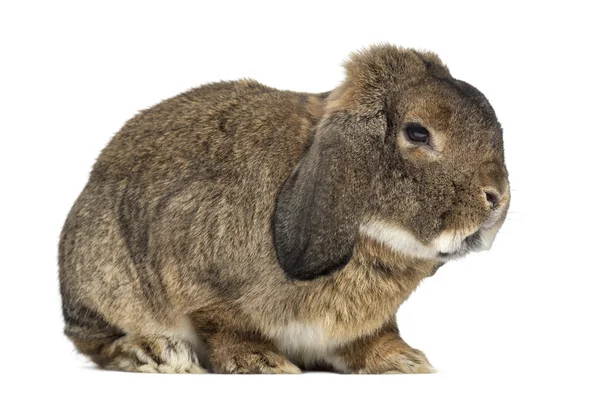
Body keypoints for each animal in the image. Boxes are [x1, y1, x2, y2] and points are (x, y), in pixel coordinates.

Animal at [58, 43, 508, 374]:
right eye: (417, 132)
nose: (498, 197)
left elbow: (373, 337)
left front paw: (403, 361)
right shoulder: (201, 284)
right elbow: (225, 326)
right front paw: (261, 363)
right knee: (96, 341)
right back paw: (156, 353)